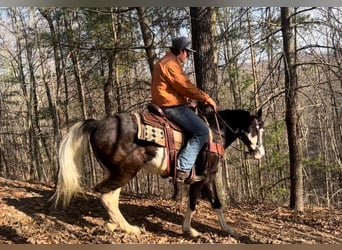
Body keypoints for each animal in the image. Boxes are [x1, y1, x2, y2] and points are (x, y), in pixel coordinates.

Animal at [50, 106, 264, 238]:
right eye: (255, 128)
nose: (260, 153)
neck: (215, 132)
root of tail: (96, 124)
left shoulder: (210, 177)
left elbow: (217, 204)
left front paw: (228, 230)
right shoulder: (202, 177)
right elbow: (193, 203)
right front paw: (190, 230)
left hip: (115, 171)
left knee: (110, 197)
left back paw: (117, 224)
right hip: (127, 170)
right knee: (105, 195)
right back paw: (128, 228)